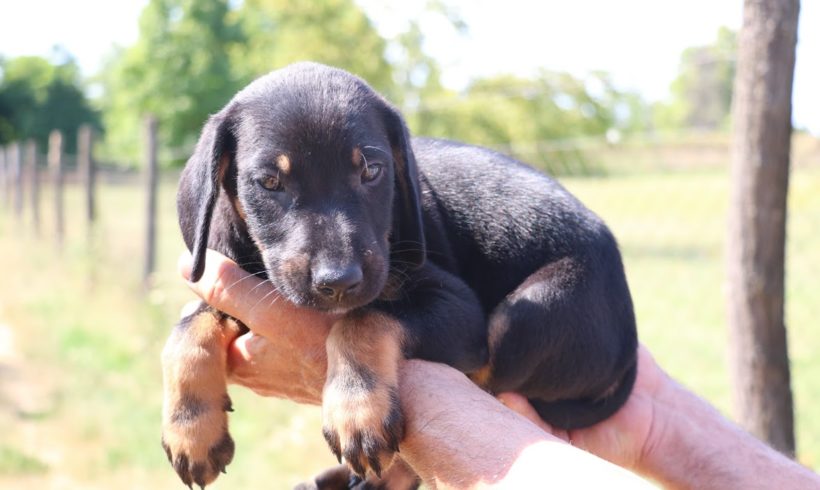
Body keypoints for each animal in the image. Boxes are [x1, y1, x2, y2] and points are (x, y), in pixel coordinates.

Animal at [161, 62, 638, 489]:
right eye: (270, 182)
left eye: (371, 171)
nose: (339, 282)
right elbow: (185, 332)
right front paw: (191, 431)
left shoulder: (458, 309)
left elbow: (363, 319)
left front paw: (357, 410)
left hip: (528, 314)